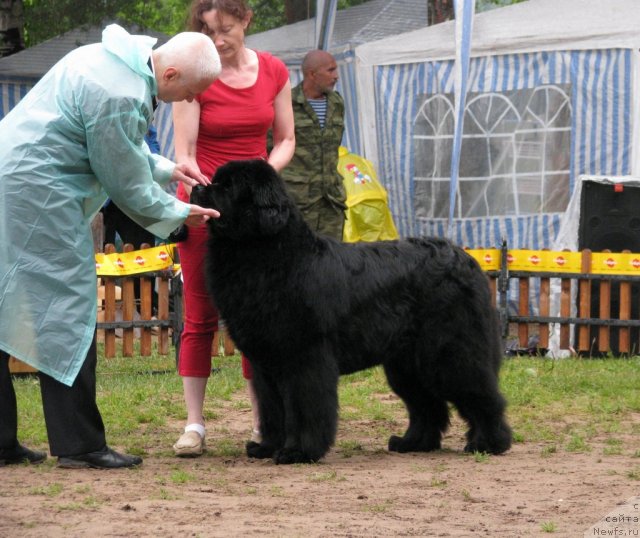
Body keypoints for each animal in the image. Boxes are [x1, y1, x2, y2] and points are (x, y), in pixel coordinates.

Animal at [192, 158, 512, 460]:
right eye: (215, 181)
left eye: (228, 187)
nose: (196, 187)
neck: (267, 255)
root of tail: (466, 258)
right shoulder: (265, 364)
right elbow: (272, 410)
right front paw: (267, 447)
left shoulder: (304, 358)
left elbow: (303, 407)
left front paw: (299, 452)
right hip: (406, 363)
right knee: (427, 405)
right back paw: (412, 443)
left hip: (450, 353)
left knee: (482, 394)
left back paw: (489, 443)